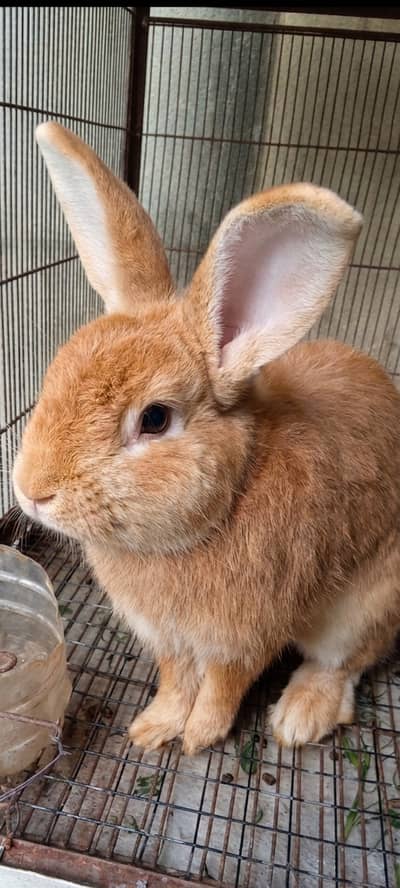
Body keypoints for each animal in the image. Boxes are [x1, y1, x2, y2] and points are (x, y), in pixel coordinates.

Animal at [13, 122, 400, 756]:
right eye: (55, 373)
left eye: (154, 419)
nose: (30, 492)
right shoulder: (167, 636)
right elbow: (177, 678)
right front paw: (153, 728)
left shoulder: (246, 632)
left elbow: (224, 683)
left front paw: (199, 737)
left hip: (362, 607)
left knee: (342, 664)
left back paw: (299, 718)